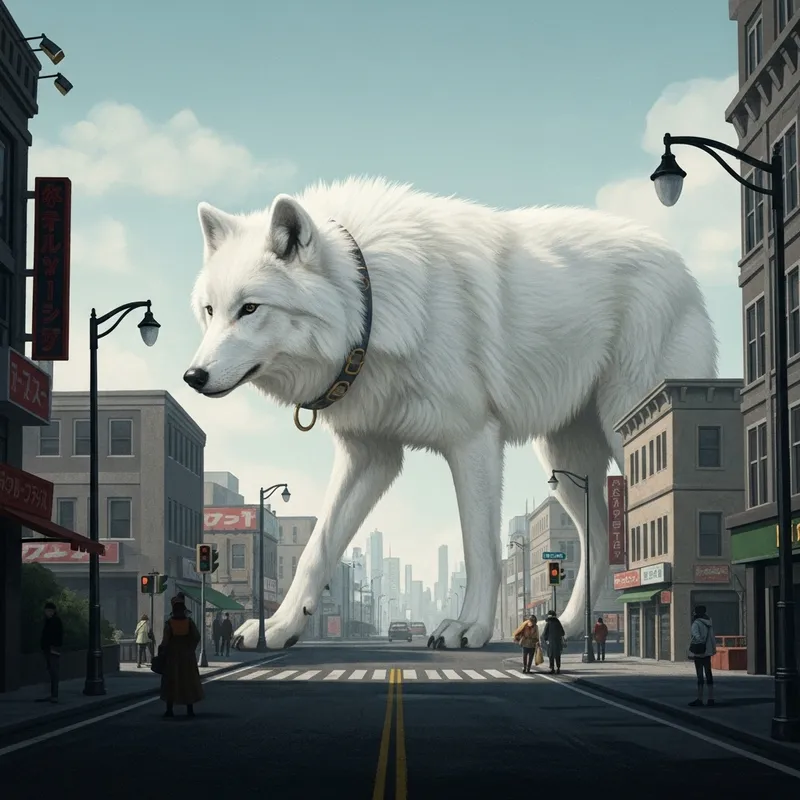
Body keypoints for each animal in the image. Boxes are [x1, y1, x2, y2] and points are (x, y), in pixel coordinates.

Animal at [184, 177, 717, 650]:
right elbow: (318, 549)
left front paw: (470, 628)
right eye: (210, 311)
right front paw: (279, 628)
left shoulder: (474, 440)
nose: (193, 376)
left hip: (626, 430)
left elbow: (480, 549)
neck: (370, 299)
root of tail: (681, 266)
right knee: (600, 538)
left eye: (250, 308)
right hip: (565, 463)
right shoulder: (372, 456)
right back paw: (566, 627)